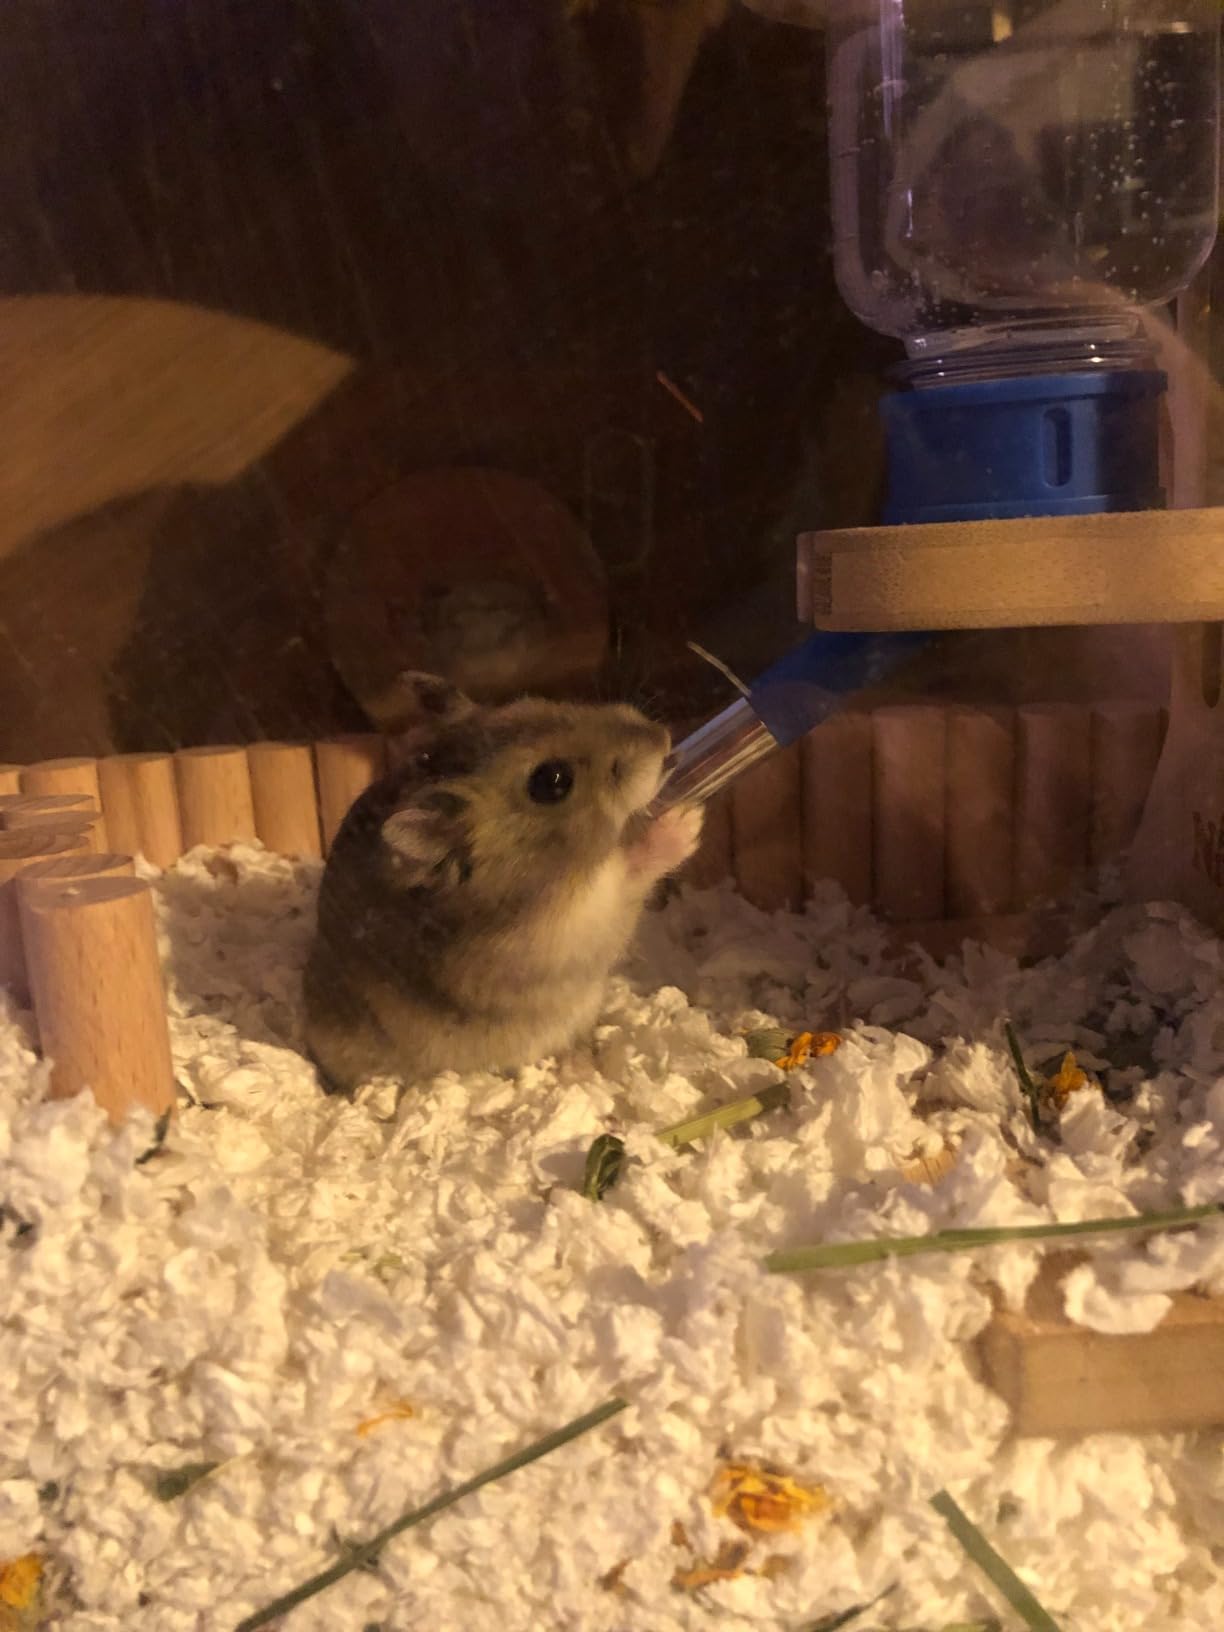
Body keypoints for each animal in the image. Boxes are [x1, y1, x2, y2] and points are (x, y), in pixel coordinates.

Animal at [303, 672, 703, 1093]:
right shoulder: (575, 930)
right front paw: (687, 821)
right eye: (552, 781)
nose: (663, 738)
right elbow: (630, 874)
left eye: (532, 703)